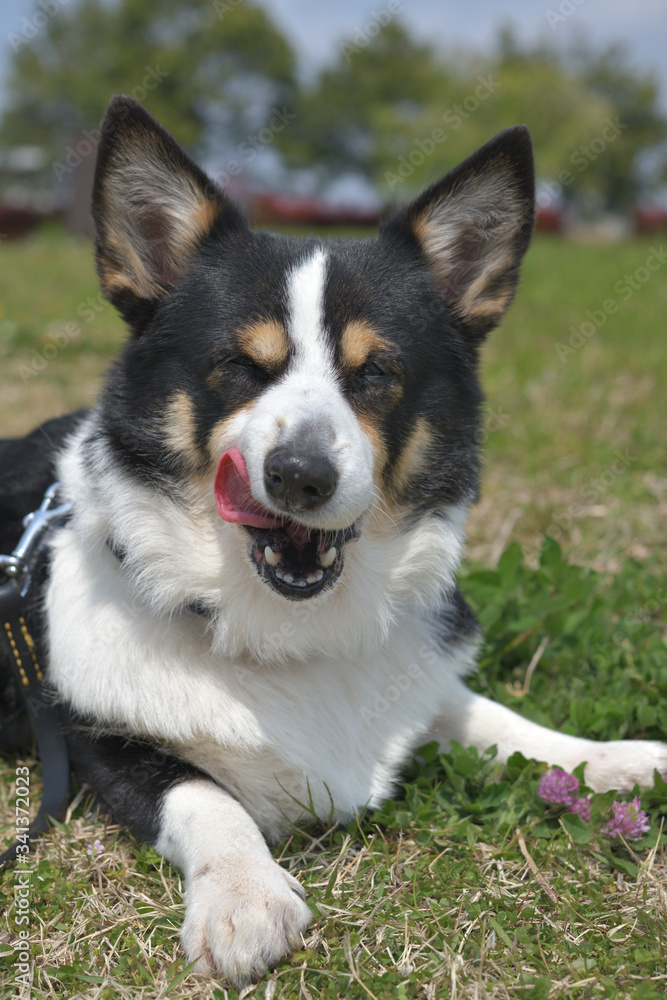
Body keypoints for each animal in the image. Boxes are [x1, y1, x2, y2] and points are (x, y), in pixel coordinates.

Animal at [3, 94, 667, 984]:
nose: (299, 477)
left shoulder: (422, 681)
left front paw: (621, 757)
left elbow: (506, 724)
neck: (287, 632)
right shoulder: (97, 742)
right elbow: (203, 792)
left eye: (375, 371)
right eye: (240, 366)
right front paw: (243, 899)